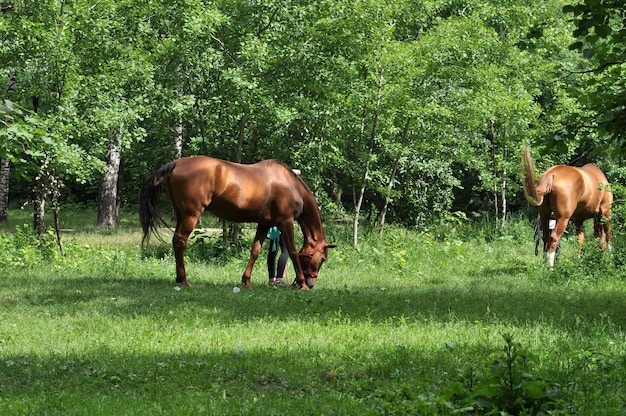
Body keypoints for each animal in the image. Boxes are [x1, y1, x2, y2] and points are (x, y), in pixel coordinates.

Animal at [140, 156, 336, 290]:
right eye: (322, 259)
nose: (311, 283)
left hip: (181, 214)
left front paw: (246, 281)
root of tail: (176, 164)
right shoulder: (285, 222)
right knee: (180, 241)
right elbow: (294, 252)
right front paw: (302, 284)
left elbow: (255, 251)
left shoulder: (264, 224)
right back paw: (184, 279)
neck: (290, 185)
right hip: (191, 215)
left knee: (176, 241)